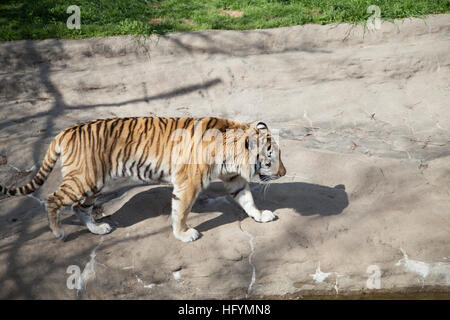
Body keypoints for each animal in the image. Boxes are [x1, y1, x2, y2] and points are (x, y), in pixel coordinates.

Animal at [0, 116, 286, 241]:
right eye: (271, 157)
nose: (284, 173)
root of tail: (66, 130)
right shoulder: (188, 183)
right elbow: (181, 211)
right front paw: (184, 234)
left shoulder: (234, 177)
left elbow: (247, 199)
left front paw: (261, 216)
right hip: (83, 179)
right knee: (53, 199)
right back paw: (58, 232)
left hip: (93, 183)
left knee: (78, 207)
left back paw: (98, 228)